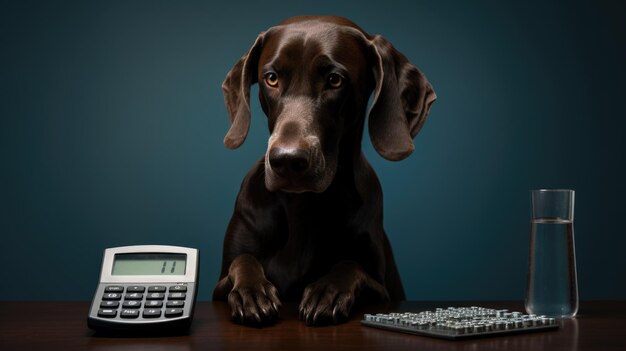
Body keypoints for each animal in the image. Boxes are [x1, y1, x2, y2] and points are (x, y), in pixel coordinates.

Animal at [212, 15, 432, 326]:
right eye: (272, 78)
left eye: (334, 80)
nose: (287, 160)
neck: (303, 207)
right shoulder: (219, 284)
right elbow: (242, 261)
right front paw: (252, 291)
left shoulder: (382, 290)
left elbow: (351, 265)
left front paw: (328, 291)